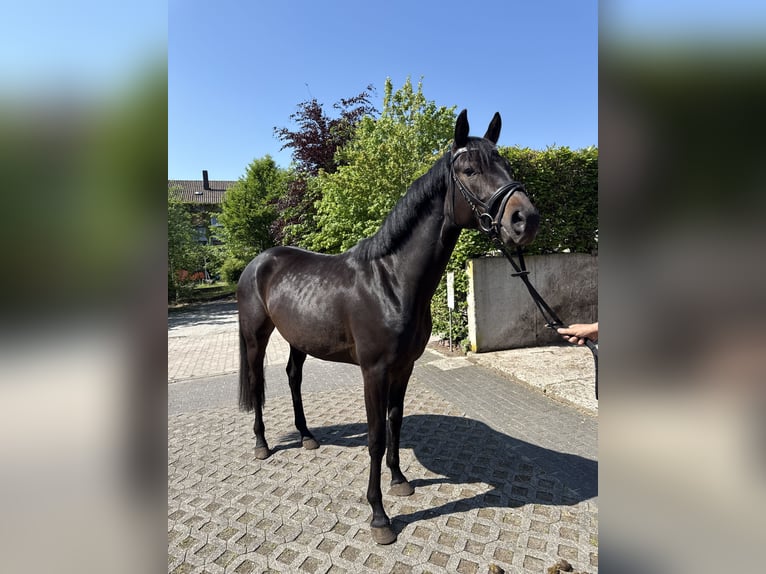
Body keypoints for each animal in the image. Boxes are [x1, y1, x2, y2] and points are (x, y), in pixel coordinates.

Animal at [237, 109, 539, 545]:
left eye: (508, 167)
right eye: (469, 170)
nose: (525, 219)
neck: (392, 281)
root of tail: (258, 262)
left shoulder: (404, 367)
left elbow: (395, 421)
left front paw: (400, 481)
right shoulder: (374, 371)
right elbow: (376, 436)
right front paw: (379, 516)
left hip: (299, 339)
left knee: (293, 377)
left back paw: (307, 437)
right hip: (255, 336)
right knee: (258, 381)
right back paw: (262, 444)